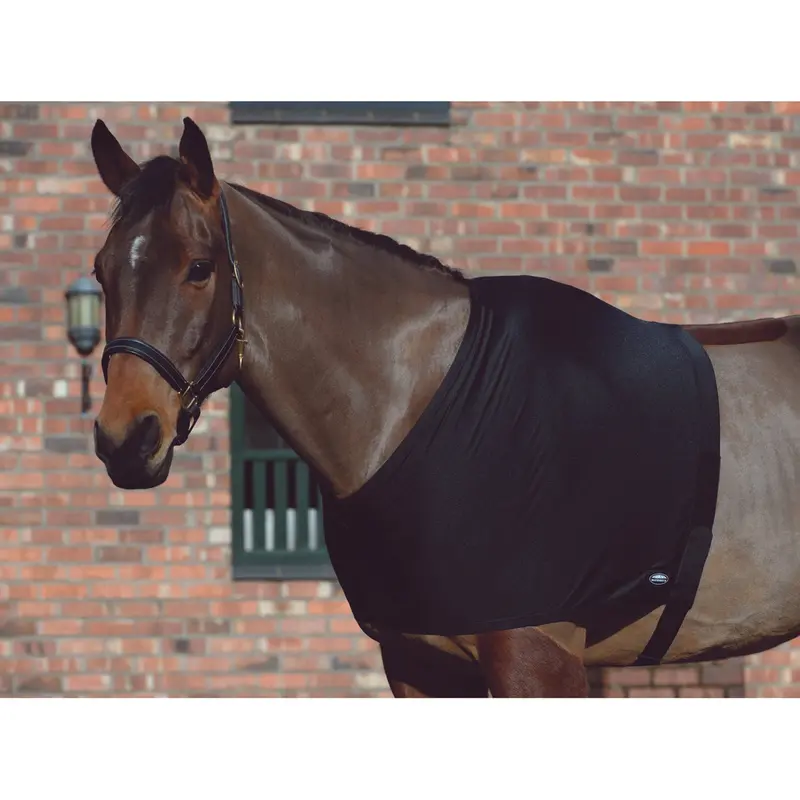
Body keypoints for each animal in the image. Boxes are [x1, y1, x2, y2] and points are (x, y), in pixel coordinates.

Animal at [88, 117, 800, 698]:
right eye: (100, 270)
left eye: (199, 267)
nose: (126, 439)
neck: (416, 406)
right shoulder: (418, 661)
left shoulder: (539, 660)